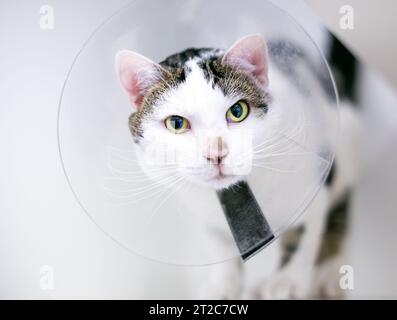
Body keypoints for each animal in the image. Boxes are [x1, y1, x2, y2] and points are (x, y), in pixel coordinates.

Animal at [114, 33, 362, 298]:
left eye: (237, 111)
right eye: (177, 123)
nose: (216, 153)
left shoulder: (314, 180)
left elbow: (304, 232)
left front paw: (288, 282)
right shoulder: (204, 215)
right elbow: (220, 245)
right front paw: (223, 285)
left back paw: (332, 272)